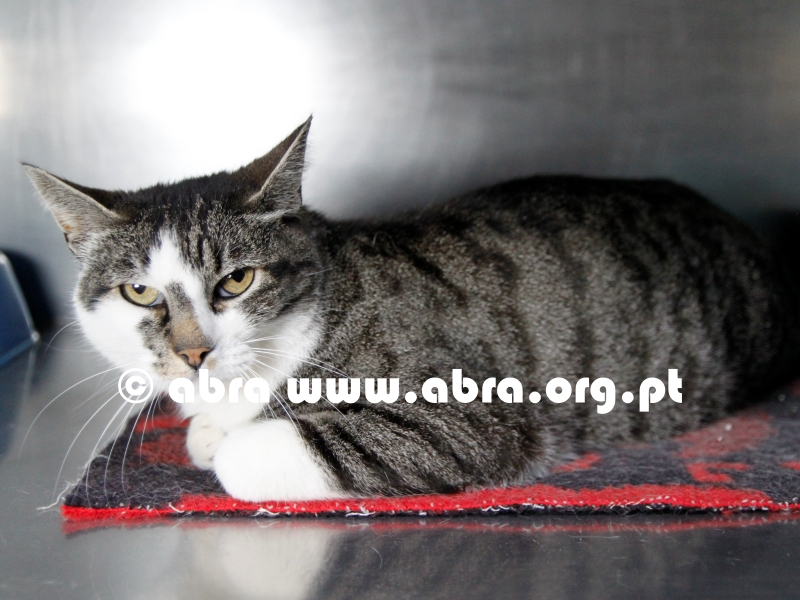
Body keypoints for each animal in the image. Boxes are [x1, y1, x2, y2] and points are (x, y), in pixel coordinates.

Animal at [25, 118, 800, 502]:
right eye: (140, 292)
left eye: (237, 281)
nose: (193, 353)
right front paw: (208, 426)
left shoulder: (468, 417)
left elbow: (248, 454)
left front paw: (226, 440)